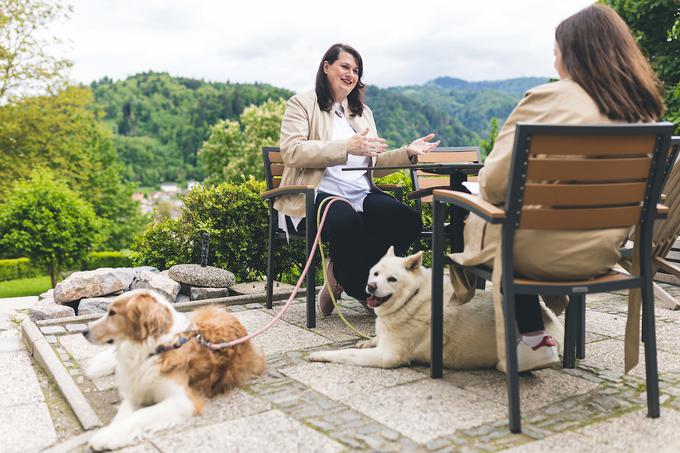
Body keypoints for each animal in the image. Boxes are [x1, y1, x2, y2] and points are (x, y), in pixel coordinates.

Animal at [82, 290, 266, 448]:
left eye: (112, 313)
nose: (84, 331)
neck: (154, 349)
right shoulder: (136, 392)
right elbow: (123, 414)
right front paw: (113, 432)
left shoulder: (184, 401)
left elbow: (140, 415)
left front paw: (105, 436)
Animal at [308, 247, 564, 370]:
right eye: (376, 274)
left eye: (392, 279)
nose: (371, 287)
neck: (411, 299)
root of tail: (549, 317)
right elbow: (371, 340)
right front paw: (367, 340)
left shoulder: (388, 356)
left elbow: (345, 354)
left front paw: (321, 355)